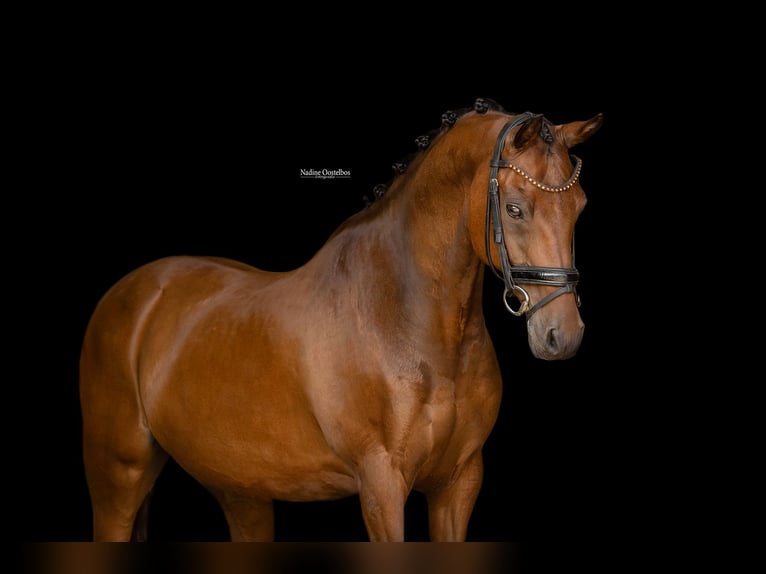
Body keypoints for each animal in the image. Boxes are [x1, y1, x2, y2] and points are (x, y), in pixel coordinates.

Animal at [79, 98, 603, 541]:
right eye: (515, 209)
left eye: (580, 207)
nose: (562, 334)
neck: (409, 326)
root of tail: (134, 291)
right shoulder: (382, 485)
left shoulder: (459, 482)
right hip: (118, 475)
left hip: (240, 491)